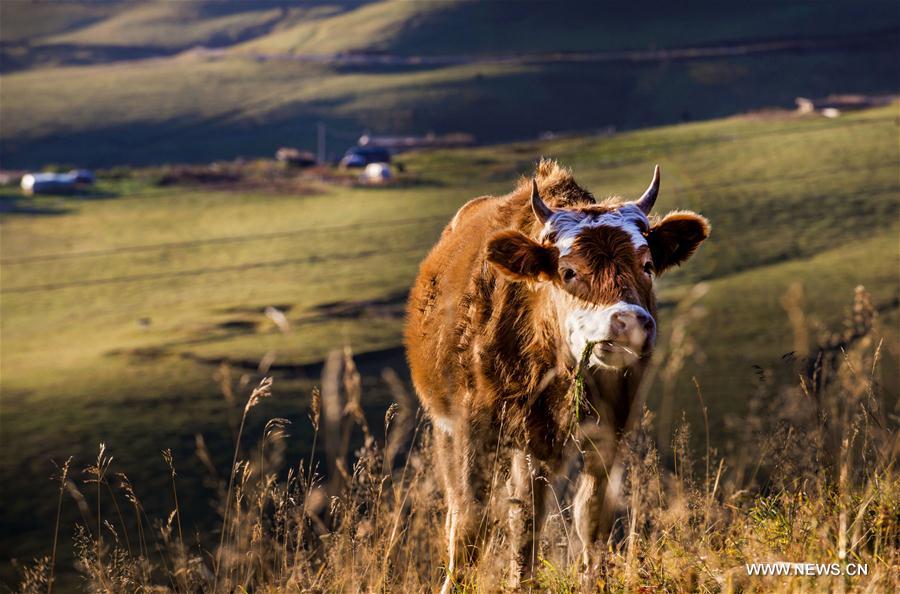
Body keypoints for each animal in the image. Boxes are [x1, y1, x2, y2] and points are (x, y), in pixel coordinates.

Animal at [406, 161, 712, 588]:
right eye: (568, 272)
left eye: (648, 266)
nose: (629, 323)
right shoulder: (474, 430)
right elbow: (470, 523)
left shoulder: (608, 433)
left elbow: (590, 518)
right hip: (450, 429)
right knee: (464, 512)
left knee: (525, 515)